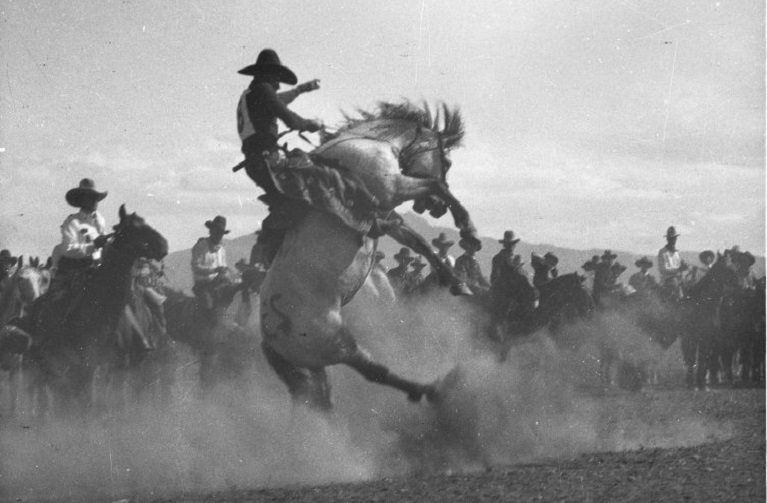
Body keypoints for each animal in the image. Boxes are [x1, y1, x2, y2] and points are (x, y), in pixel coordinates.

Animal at [27, 207, 168, 416]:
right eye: (132, 228)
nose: (163, 245)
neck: (102, 307)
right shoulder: (89, 367)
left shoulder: (119, 368)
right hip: (46, 367)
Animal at [260, 100, 474, 412]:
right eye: (446, 162)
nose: (434, 209)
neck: (371, 144)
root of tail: (269, 338)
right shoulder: (394, 189)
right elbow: (436, 186)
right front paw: (469, 230)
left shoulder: (385, 218)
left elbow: (419, 242)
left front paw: (458, 282)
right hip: (335, 342)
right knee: (375, 371)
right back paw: (432, 389)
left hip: (313, 368)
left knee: (322, 400)